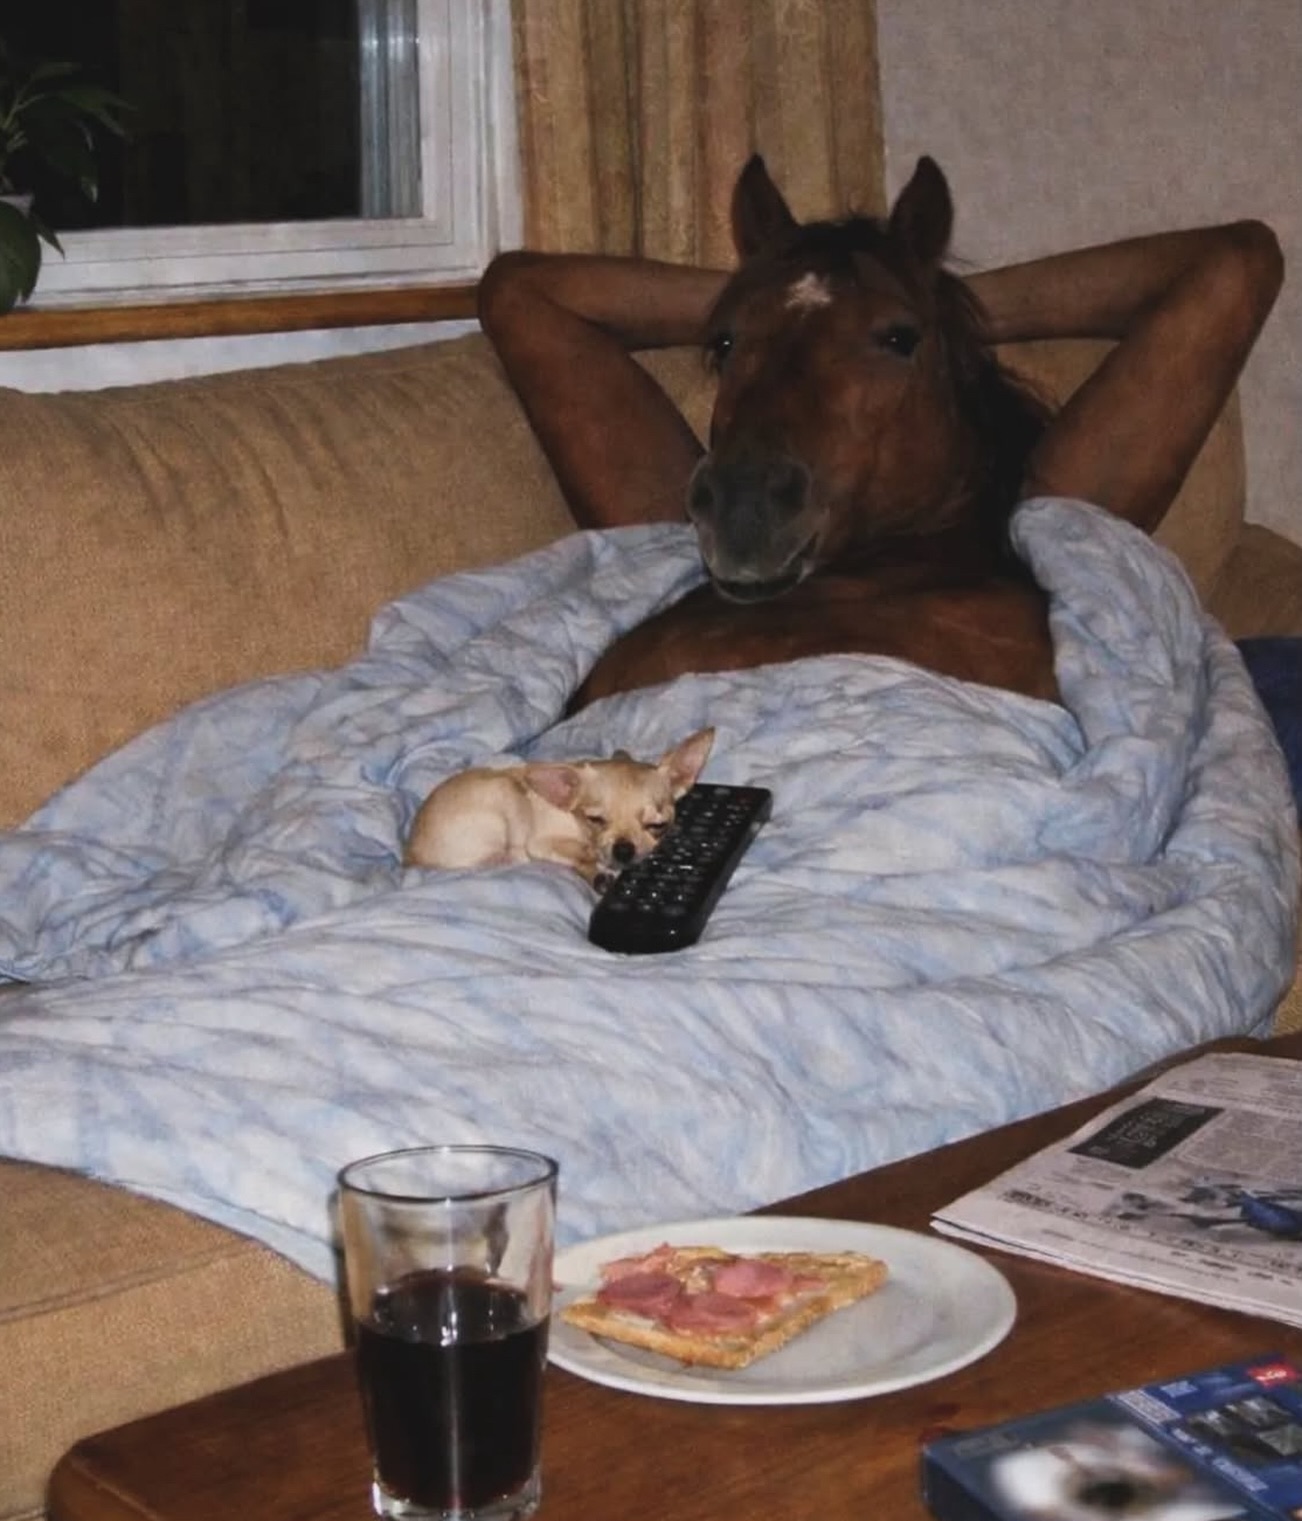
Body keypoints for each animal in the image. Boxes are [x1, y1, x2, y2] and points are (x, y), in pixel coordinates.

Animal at [404, 728, 715, 886]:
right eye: (595, 820)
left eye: (657, 825)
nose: (623, 850)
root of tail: (411, 858)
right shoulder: (541, 843)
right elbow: (581, 854)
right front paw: (599, 868)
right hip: (506, 794)